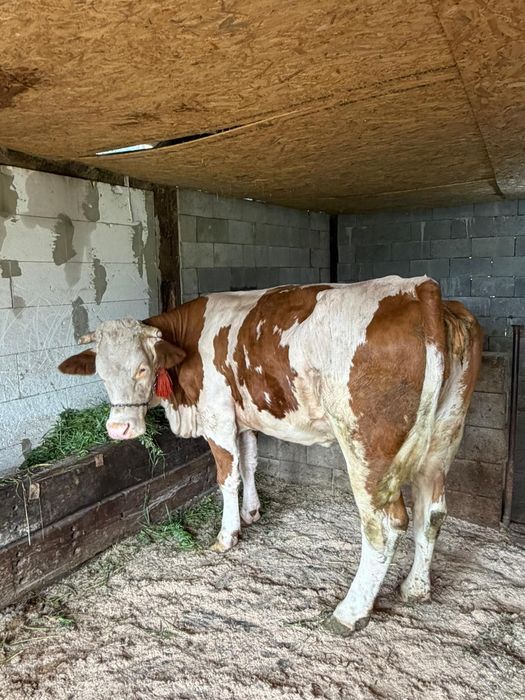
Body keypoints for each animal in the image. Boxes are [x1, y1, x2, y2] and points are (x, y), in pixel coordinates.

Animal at [58, 275, 482, 635]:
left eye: (143, 369)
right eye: (100, 373)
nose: (120, 429)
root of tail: (419, 289)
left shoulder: (218, 418)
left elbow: (227, 475)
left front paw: (227, 535)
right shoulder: (244, 418)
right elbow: (249, 463)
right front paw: (252, 512)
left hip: (367, 446)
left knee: (385, 523)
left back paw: (349, 612)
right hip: (443, 437)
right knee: (432, 512)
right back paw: (415, 588)